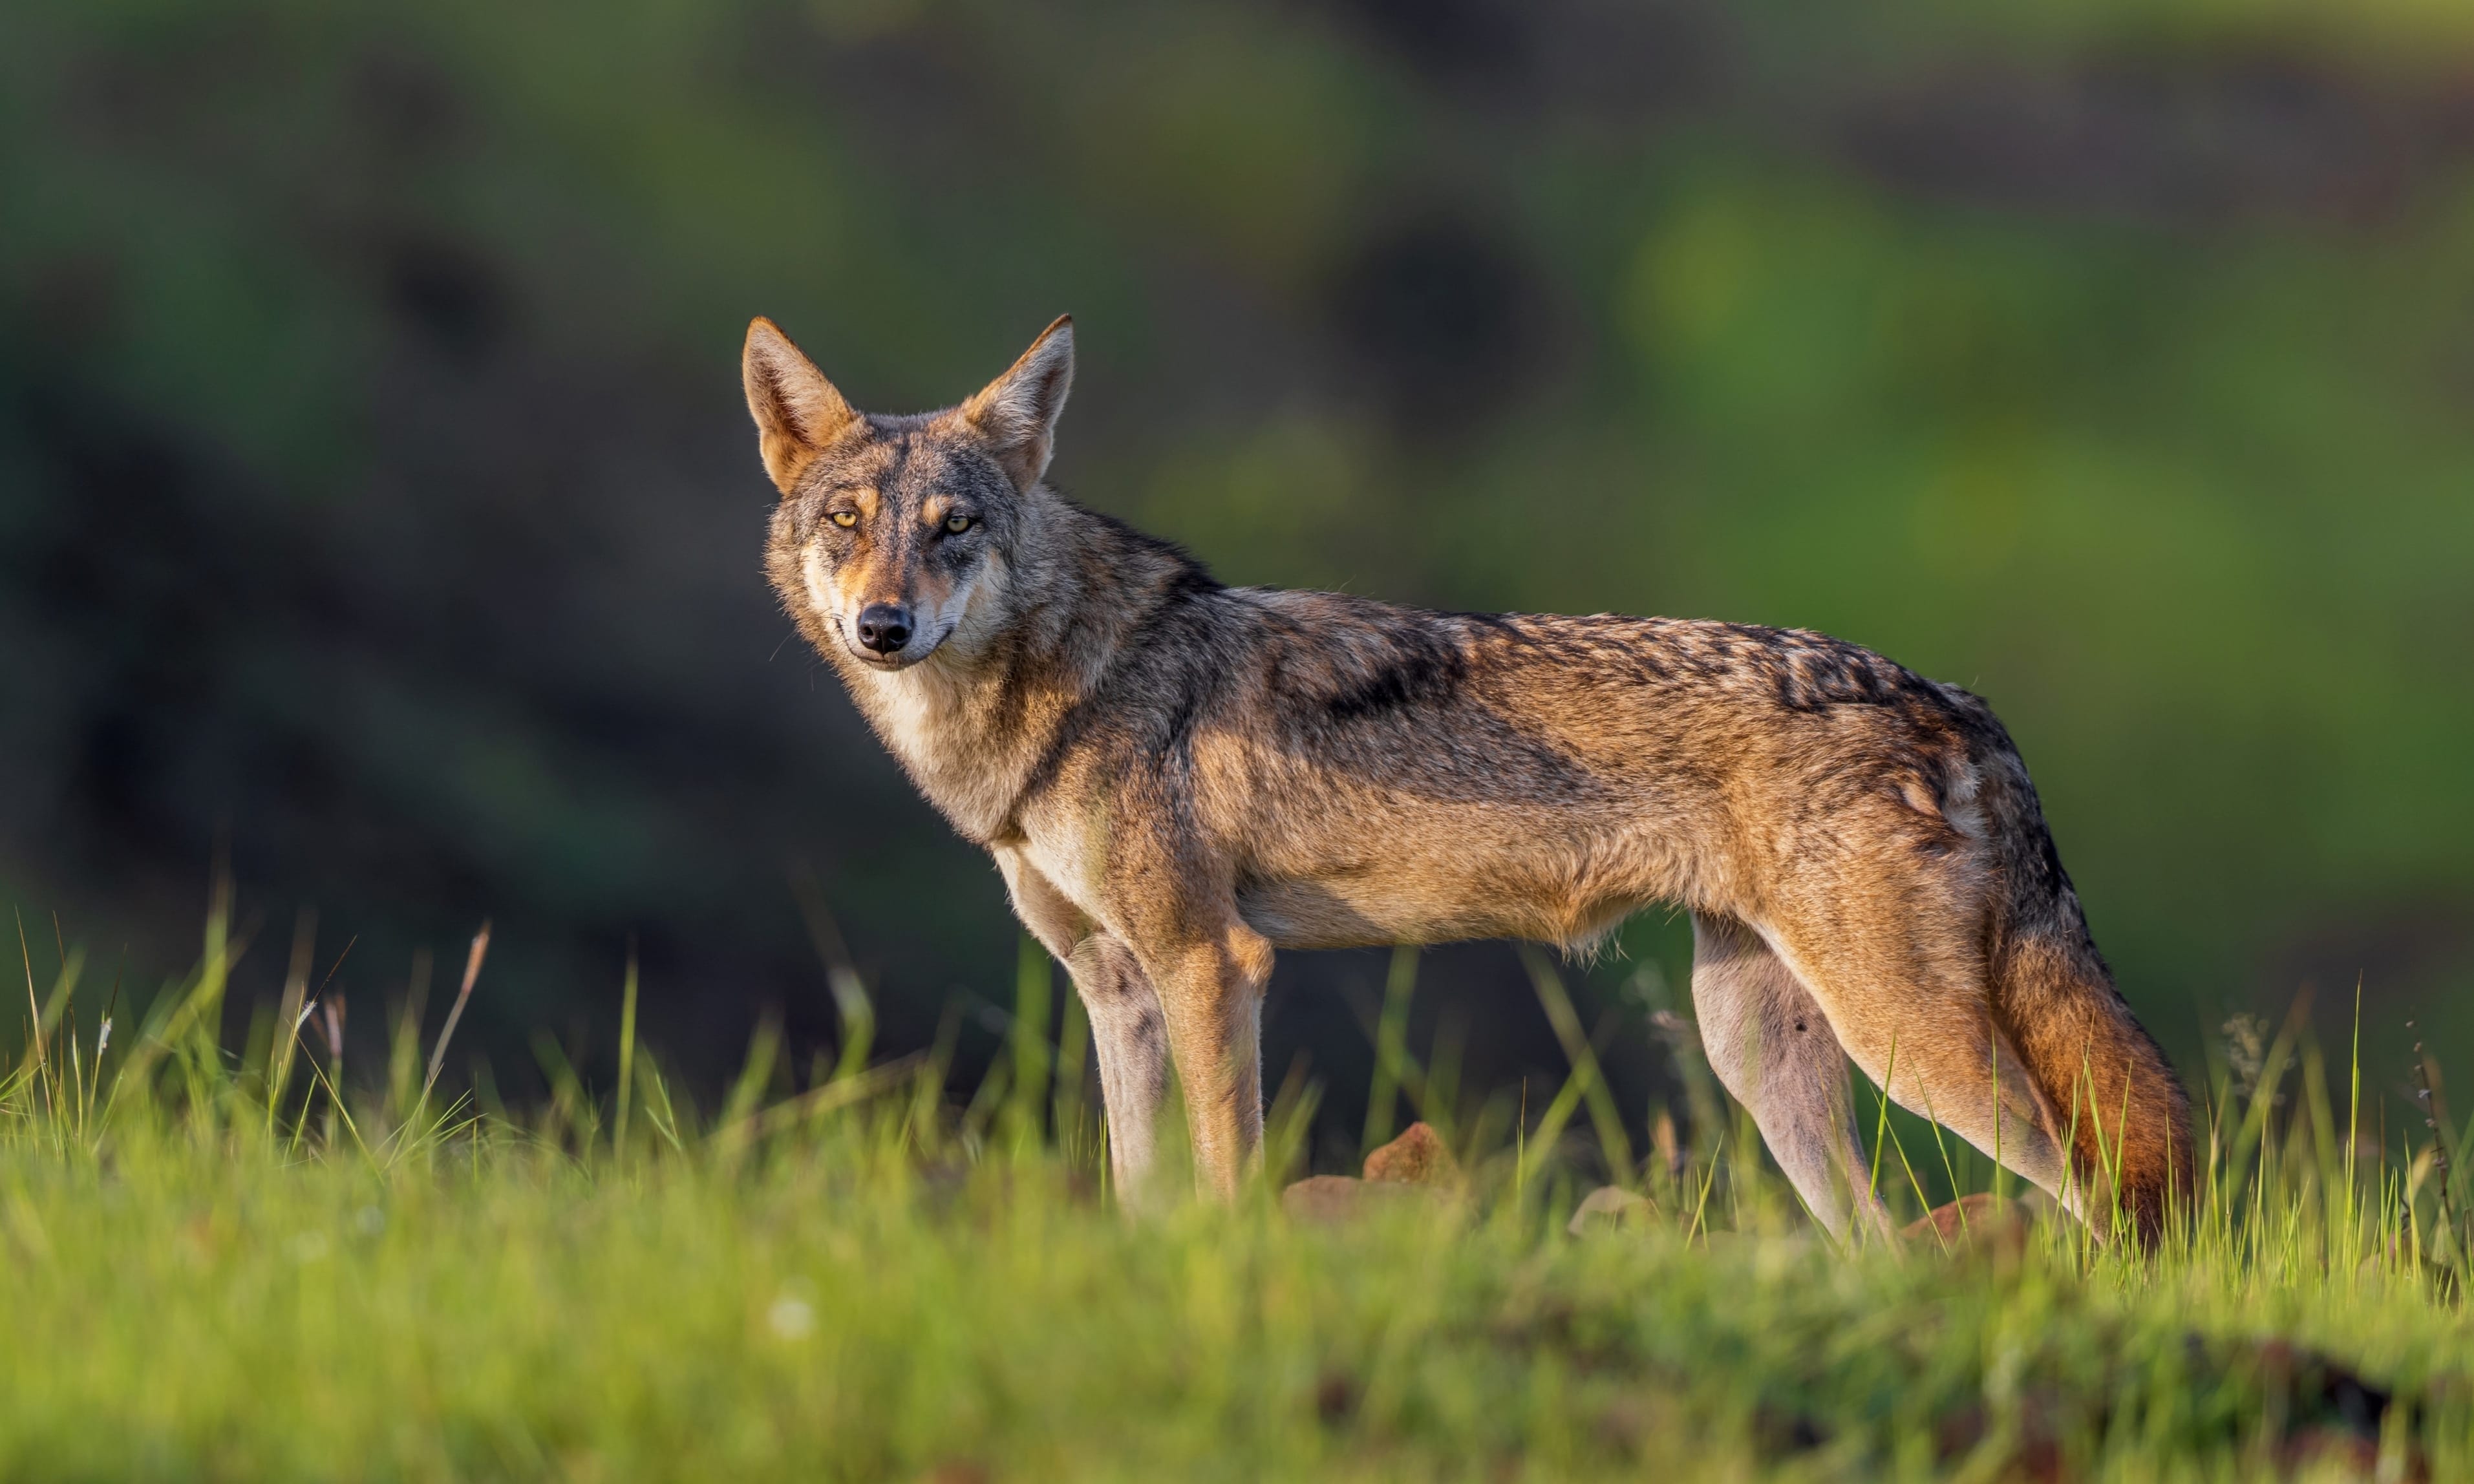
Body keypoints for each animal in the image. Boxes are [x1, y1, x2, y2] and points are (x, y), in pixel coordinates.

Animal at [742, 313, 2193, 1243]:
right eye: (847, 526)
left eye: (955, 529)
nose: (882, 627)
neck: (1060, 690)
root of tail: (1949, 697)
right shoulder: (1116, 989)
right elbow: (1139, 1188)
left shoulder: (1214, 964)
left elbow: (1222, 1176)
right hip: (1760, 1053)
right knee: (1880, 1246)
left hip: (1908, 1047)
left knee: (2097, 1189)